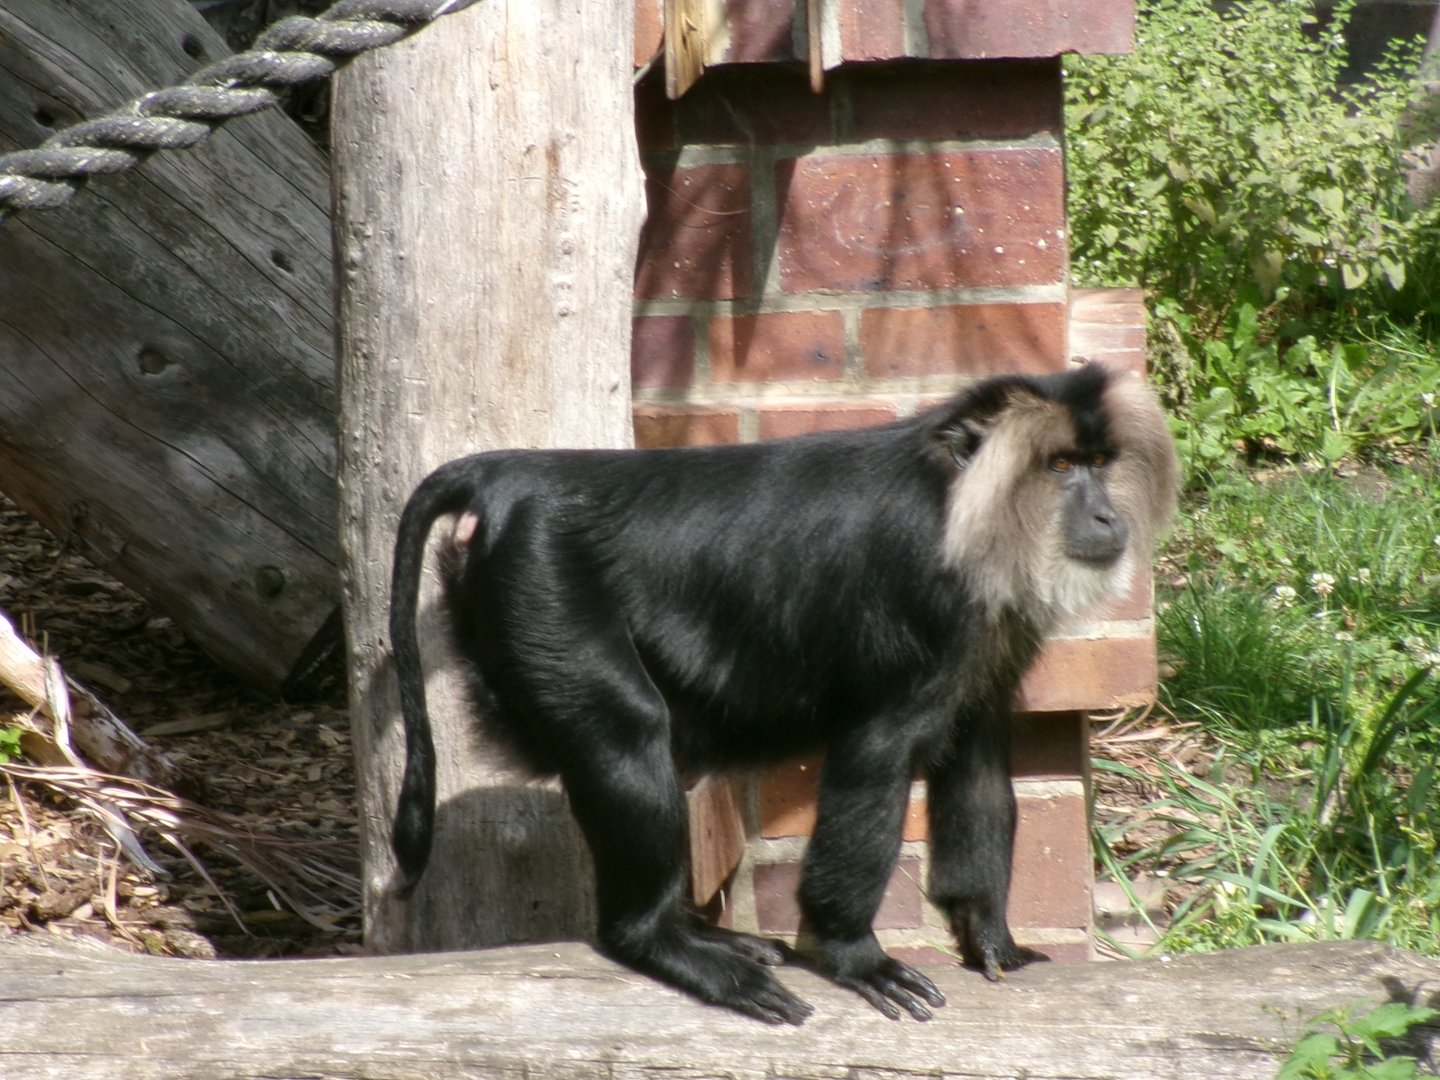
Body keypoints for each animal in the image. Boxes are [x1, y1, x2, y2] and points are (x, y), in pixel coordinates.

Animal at [387, 362, 1179, 1025]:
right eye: (1061, 467)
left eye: (1098, 465)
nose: (1106, 518)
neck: (959, 496)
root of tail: (513, 475)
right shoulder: (924, 597)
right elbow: (874, 757)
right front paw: (855, 955)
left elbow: (976, 758)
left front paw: (990, 938)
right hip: (541, 583)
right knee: (627, 731)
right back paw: (662, 942)